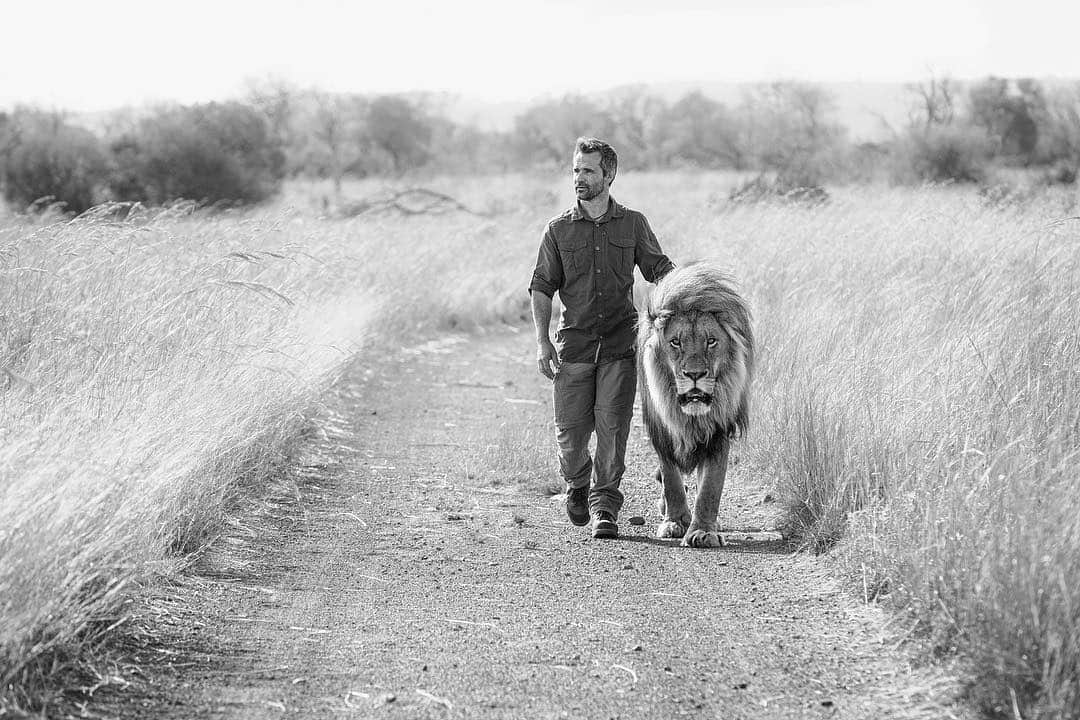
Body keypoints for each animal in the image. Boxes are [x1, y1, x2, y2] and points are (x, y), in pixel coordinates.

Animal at [635, 262, 756, 548]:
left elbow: (710, 486)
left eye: (711, 341)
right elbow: (671, 480)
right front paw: (676, 522)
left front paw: (703, 531)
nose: (694, 374)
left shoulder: (719, 431)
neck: (690, 417)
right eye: (675, 342)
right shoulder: (662, 431)